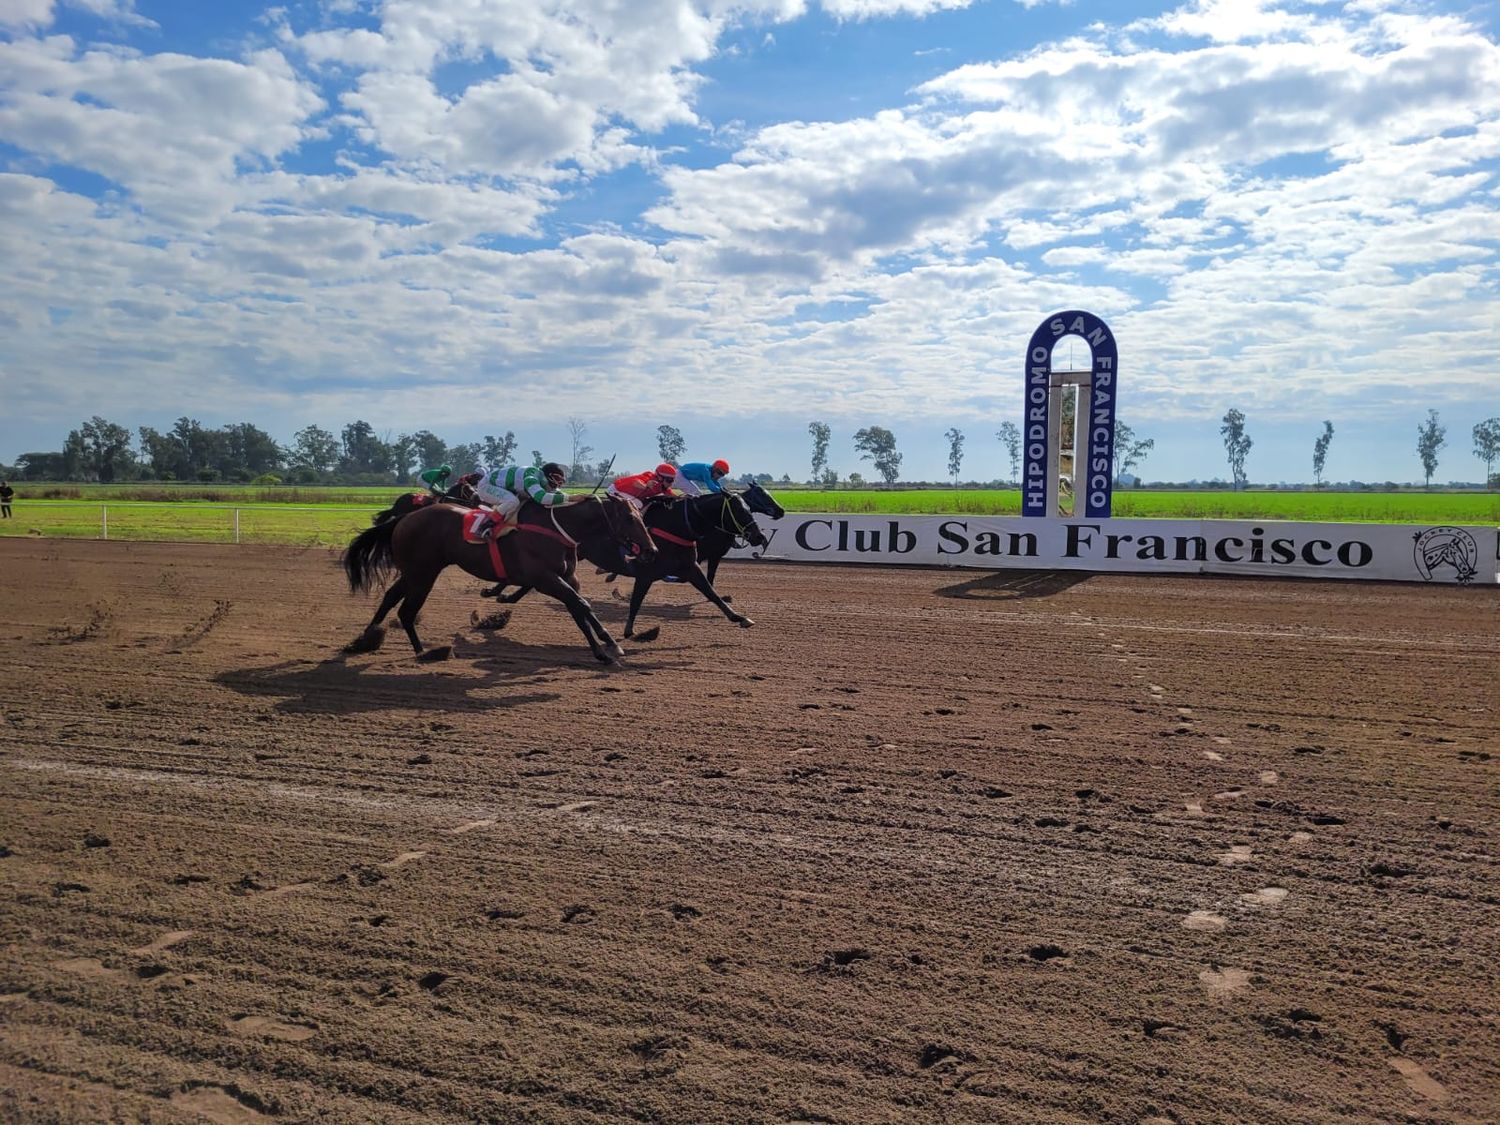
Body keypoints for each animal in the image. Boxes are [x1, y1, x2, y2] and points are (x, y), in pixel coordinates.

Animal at [343, 498, 654, 666]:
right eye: (630, 517)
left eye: (641, 516)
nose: (651, 549)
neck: (557, 528)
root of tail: (405, 517)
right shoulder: (545, 579)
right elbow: (582, 605)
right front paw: (610, 646)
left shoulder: (567, 578)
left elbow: (579, 610)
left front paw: (604, 651)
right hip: (423, 574)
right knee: (406, 611)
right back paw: (424, 652)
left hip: (415, 572)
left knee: (390, 598)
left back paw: (366, 638)